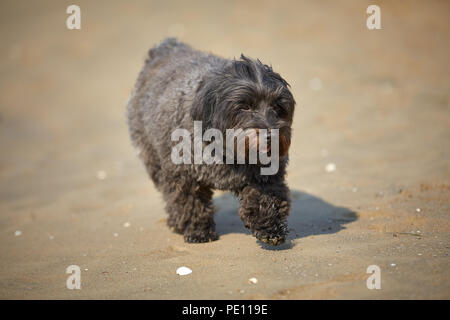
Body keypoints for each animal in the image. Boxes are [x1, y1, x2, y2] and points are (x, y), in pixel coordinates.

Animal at [126, 39, 296, 245]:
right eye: (244, 106)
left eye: (277, 106)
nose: (271, 135)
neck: (228, 152)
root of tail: (165, 48)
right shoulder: (183, 176)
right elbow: (189, 202)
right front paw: (198, 230)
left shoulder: (267, 177)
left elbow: (266, 199)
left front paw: (270, 228)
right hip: (152, 157)